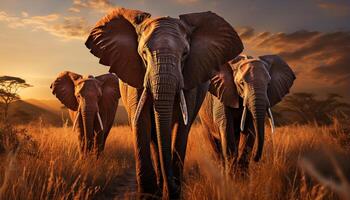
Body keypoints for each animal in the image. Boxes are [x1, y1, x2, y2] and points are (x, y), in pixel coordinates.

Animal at [85, 7, 243, 198]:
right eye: (143, 53)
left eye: (185, 54)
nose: (173, 184)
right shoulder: (136, 76)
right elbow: (141, 122)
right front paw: (148, 194)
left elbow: (181, 126)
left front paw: (172, 192)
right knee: (154, 138)